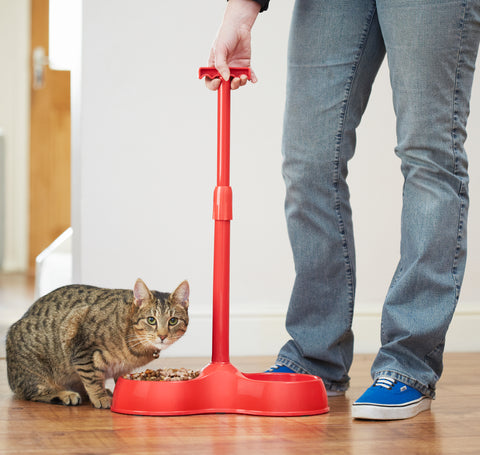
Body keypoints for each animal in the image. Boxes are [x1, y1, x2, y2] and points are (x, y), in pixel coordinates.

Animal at [6, 278, 189, 410]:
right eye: (151, 320)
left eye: (173, 321)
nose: (162, 336)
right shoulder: (82, 349)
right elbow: (92, 377)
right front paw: (100, 397)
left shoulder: (122, 368)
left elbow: (118, 379)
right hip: (35, 372)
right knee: (33, 392)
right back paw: (65, 395)